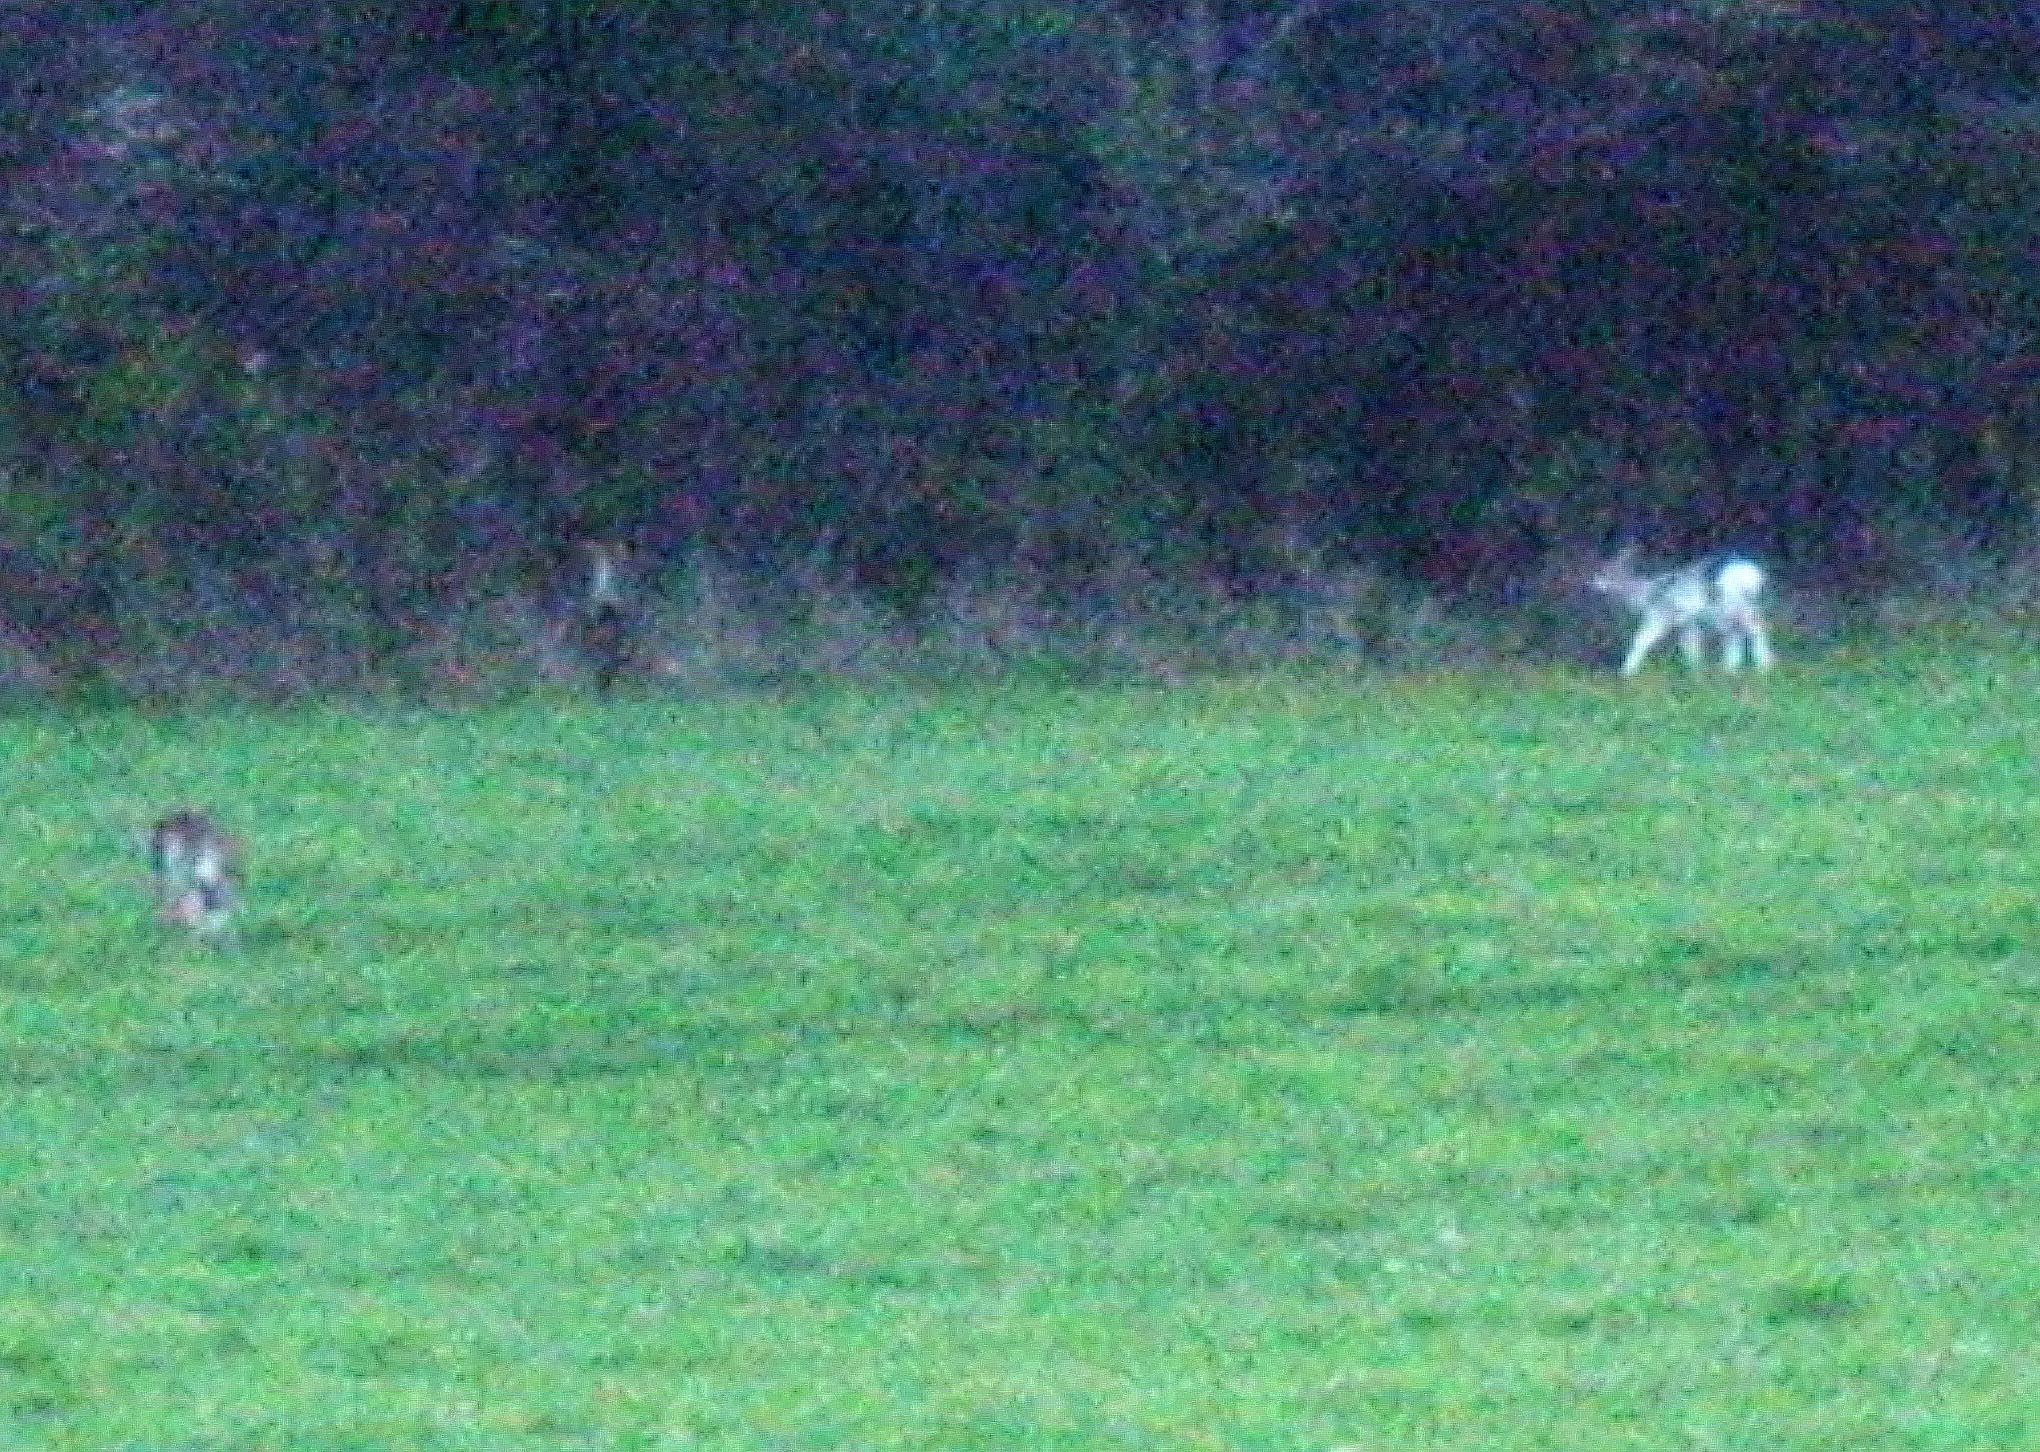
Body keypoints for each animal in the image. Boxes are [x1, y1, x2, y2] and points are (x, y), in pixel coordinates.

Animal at [1574, 546, 1770, 677]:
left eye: (1602, 573)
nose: (1588, 584)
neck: (1646, 594)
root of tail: (1751, 573)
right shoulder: (1687, 622)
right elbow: (1690, 645)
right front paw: (1695, 669)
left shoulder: (1660, 614)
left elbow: (1641, 640)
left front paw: (1626, 672)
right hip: (1731, 607)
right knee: (1736, 632)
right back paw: (1729, 668)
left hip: (1733, 603)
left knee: (1754, 627)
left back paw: (1764, 666)